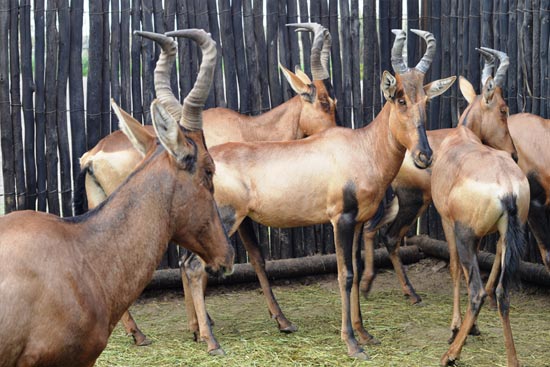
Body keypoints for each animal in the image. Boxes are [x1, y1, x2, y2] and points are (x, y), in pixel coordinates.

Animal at [360, 49, 520, 308]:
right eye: (503, 110)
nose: (513, 154)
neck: (460, 134)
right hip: (413, 202)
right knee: (391, 236)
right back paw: (412, 293)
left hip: (402, 201)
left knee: (372, 227)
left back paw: (370, 285)